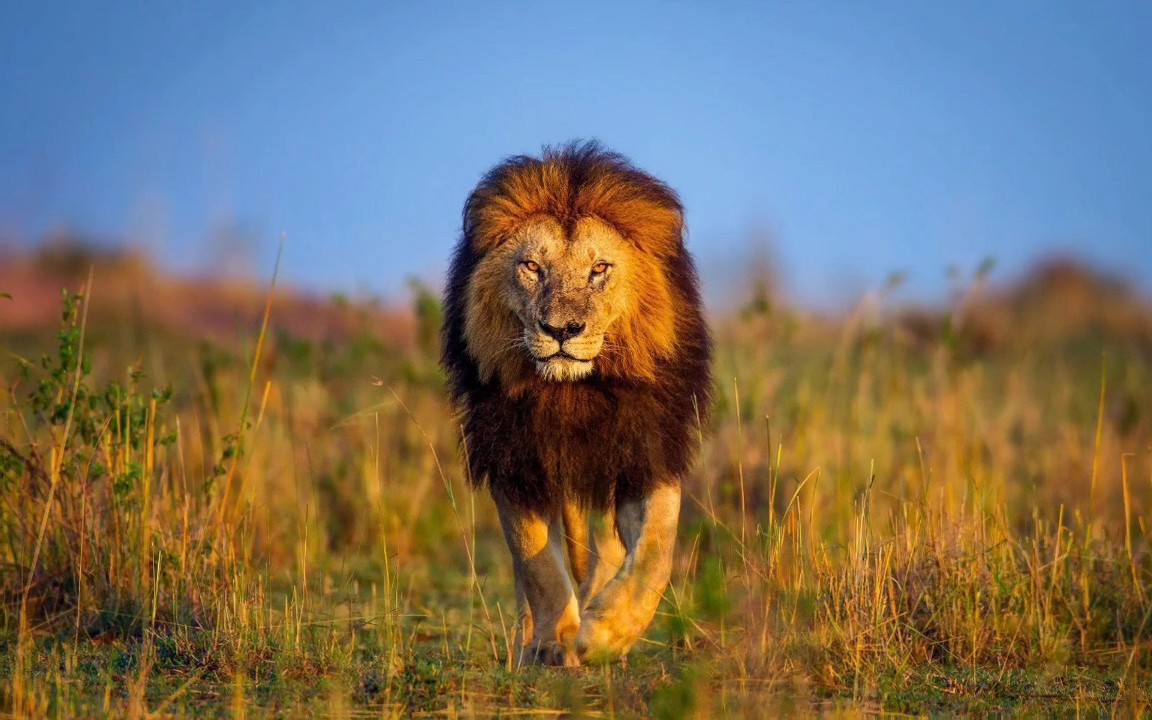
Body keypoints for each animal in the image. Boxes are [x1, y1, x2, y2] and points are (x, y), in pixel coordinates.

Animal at [441, 141, 712, 666]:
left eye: (599, 269)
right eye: (532, 267)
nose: (561, 330)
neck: (573, 394)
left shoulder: (645, 451)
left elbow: (656, 551)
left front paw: (604, 634)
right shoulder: (515, 457)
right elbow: (537, 563)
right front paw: (553, 642)